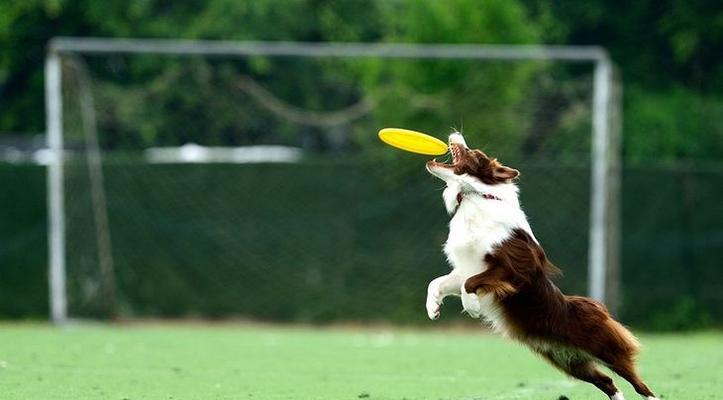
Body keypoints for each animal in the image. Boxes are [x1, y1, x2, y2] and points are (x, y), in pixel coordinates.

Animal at [428, 132, 660, 400]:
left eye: (473, 153)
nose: (455, 134)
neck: (476, 196)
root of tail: (596, 308)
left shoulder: (517, 269)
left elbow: (469, 284)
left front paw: (472, 307)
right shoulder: (467, 267)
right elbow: (438, 283)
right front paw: (433, 309)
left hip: (606, 349)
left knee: (638, 384)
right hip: (570, 362)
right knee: (608, 382)